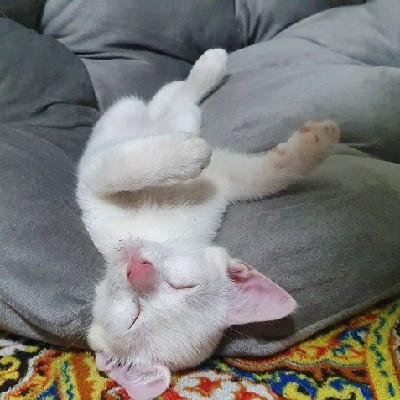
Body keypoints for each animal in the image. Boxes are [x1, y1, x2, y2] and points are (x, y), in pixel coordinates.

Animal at [76, 49, 340, 400]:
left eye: (184, 285)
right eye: (134, 315)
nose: (137, 268)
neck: (162, 233)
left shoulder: (226, 178)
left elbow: (269, 177)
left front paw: (317, 143)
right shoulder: (96, 178)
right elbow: (124, 170)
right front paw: (189, 153)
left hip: (170, 114)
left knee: (177, 97)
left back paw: (209, 68)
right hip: (132, 116)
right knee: (168, 98)